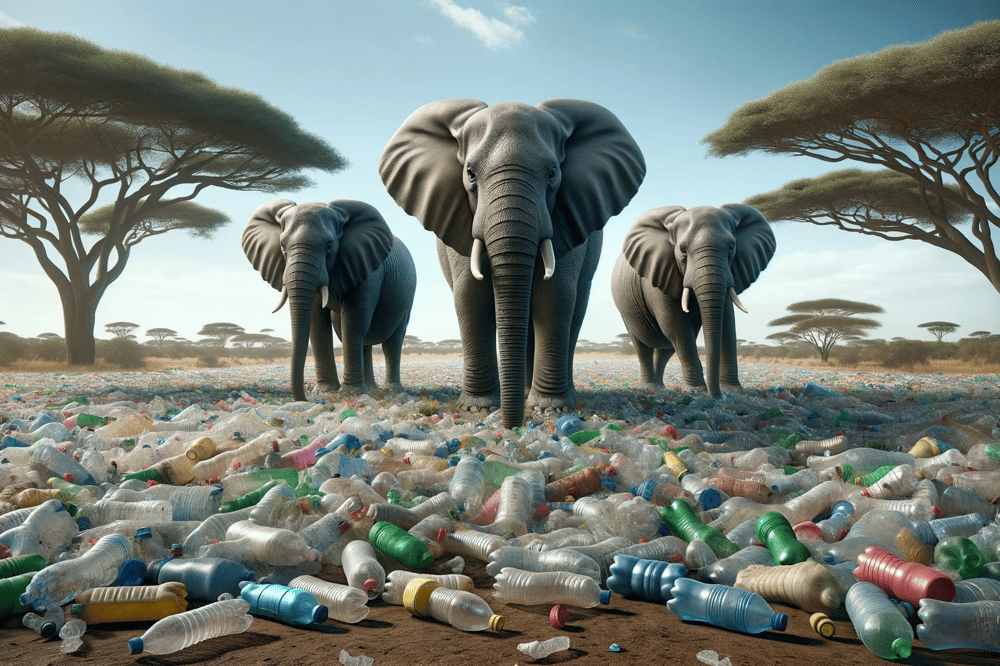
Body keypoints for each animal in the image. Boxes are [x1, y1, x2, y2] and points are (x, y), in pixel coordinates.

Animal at [240, 198, 416, 400]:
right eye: (282, 246)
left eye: (330, 246)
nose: (305, 398)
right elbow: (317, 324)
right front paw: (326, 391)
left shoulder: (366, 270)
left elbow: (353, 323)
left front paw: (350, 393)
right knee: (365, 342)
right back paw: (371, 389)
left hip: (407, 297)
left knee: (392, 342)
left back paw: (391, 390)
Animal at [378, 98, 644, 426]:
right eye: (470, 173)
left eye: (553, 173)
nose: (513, 426)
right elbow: (471, 296)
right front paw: (477, 409)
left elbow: (555, 295)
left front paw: (551, 409)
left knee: (574, 306)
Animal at [604, 202, 776, 394]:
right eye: (683, 250)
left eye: (731, 247)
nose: (715, 395)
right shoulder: (658, 272)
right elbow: (675, 324)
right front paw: (697, 391)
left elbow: (728, 323)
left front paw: (733, 391)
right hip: (626, 312)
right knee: (643, 346)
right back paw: (650, 387)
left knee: (666, 347)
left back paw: (660, 387)